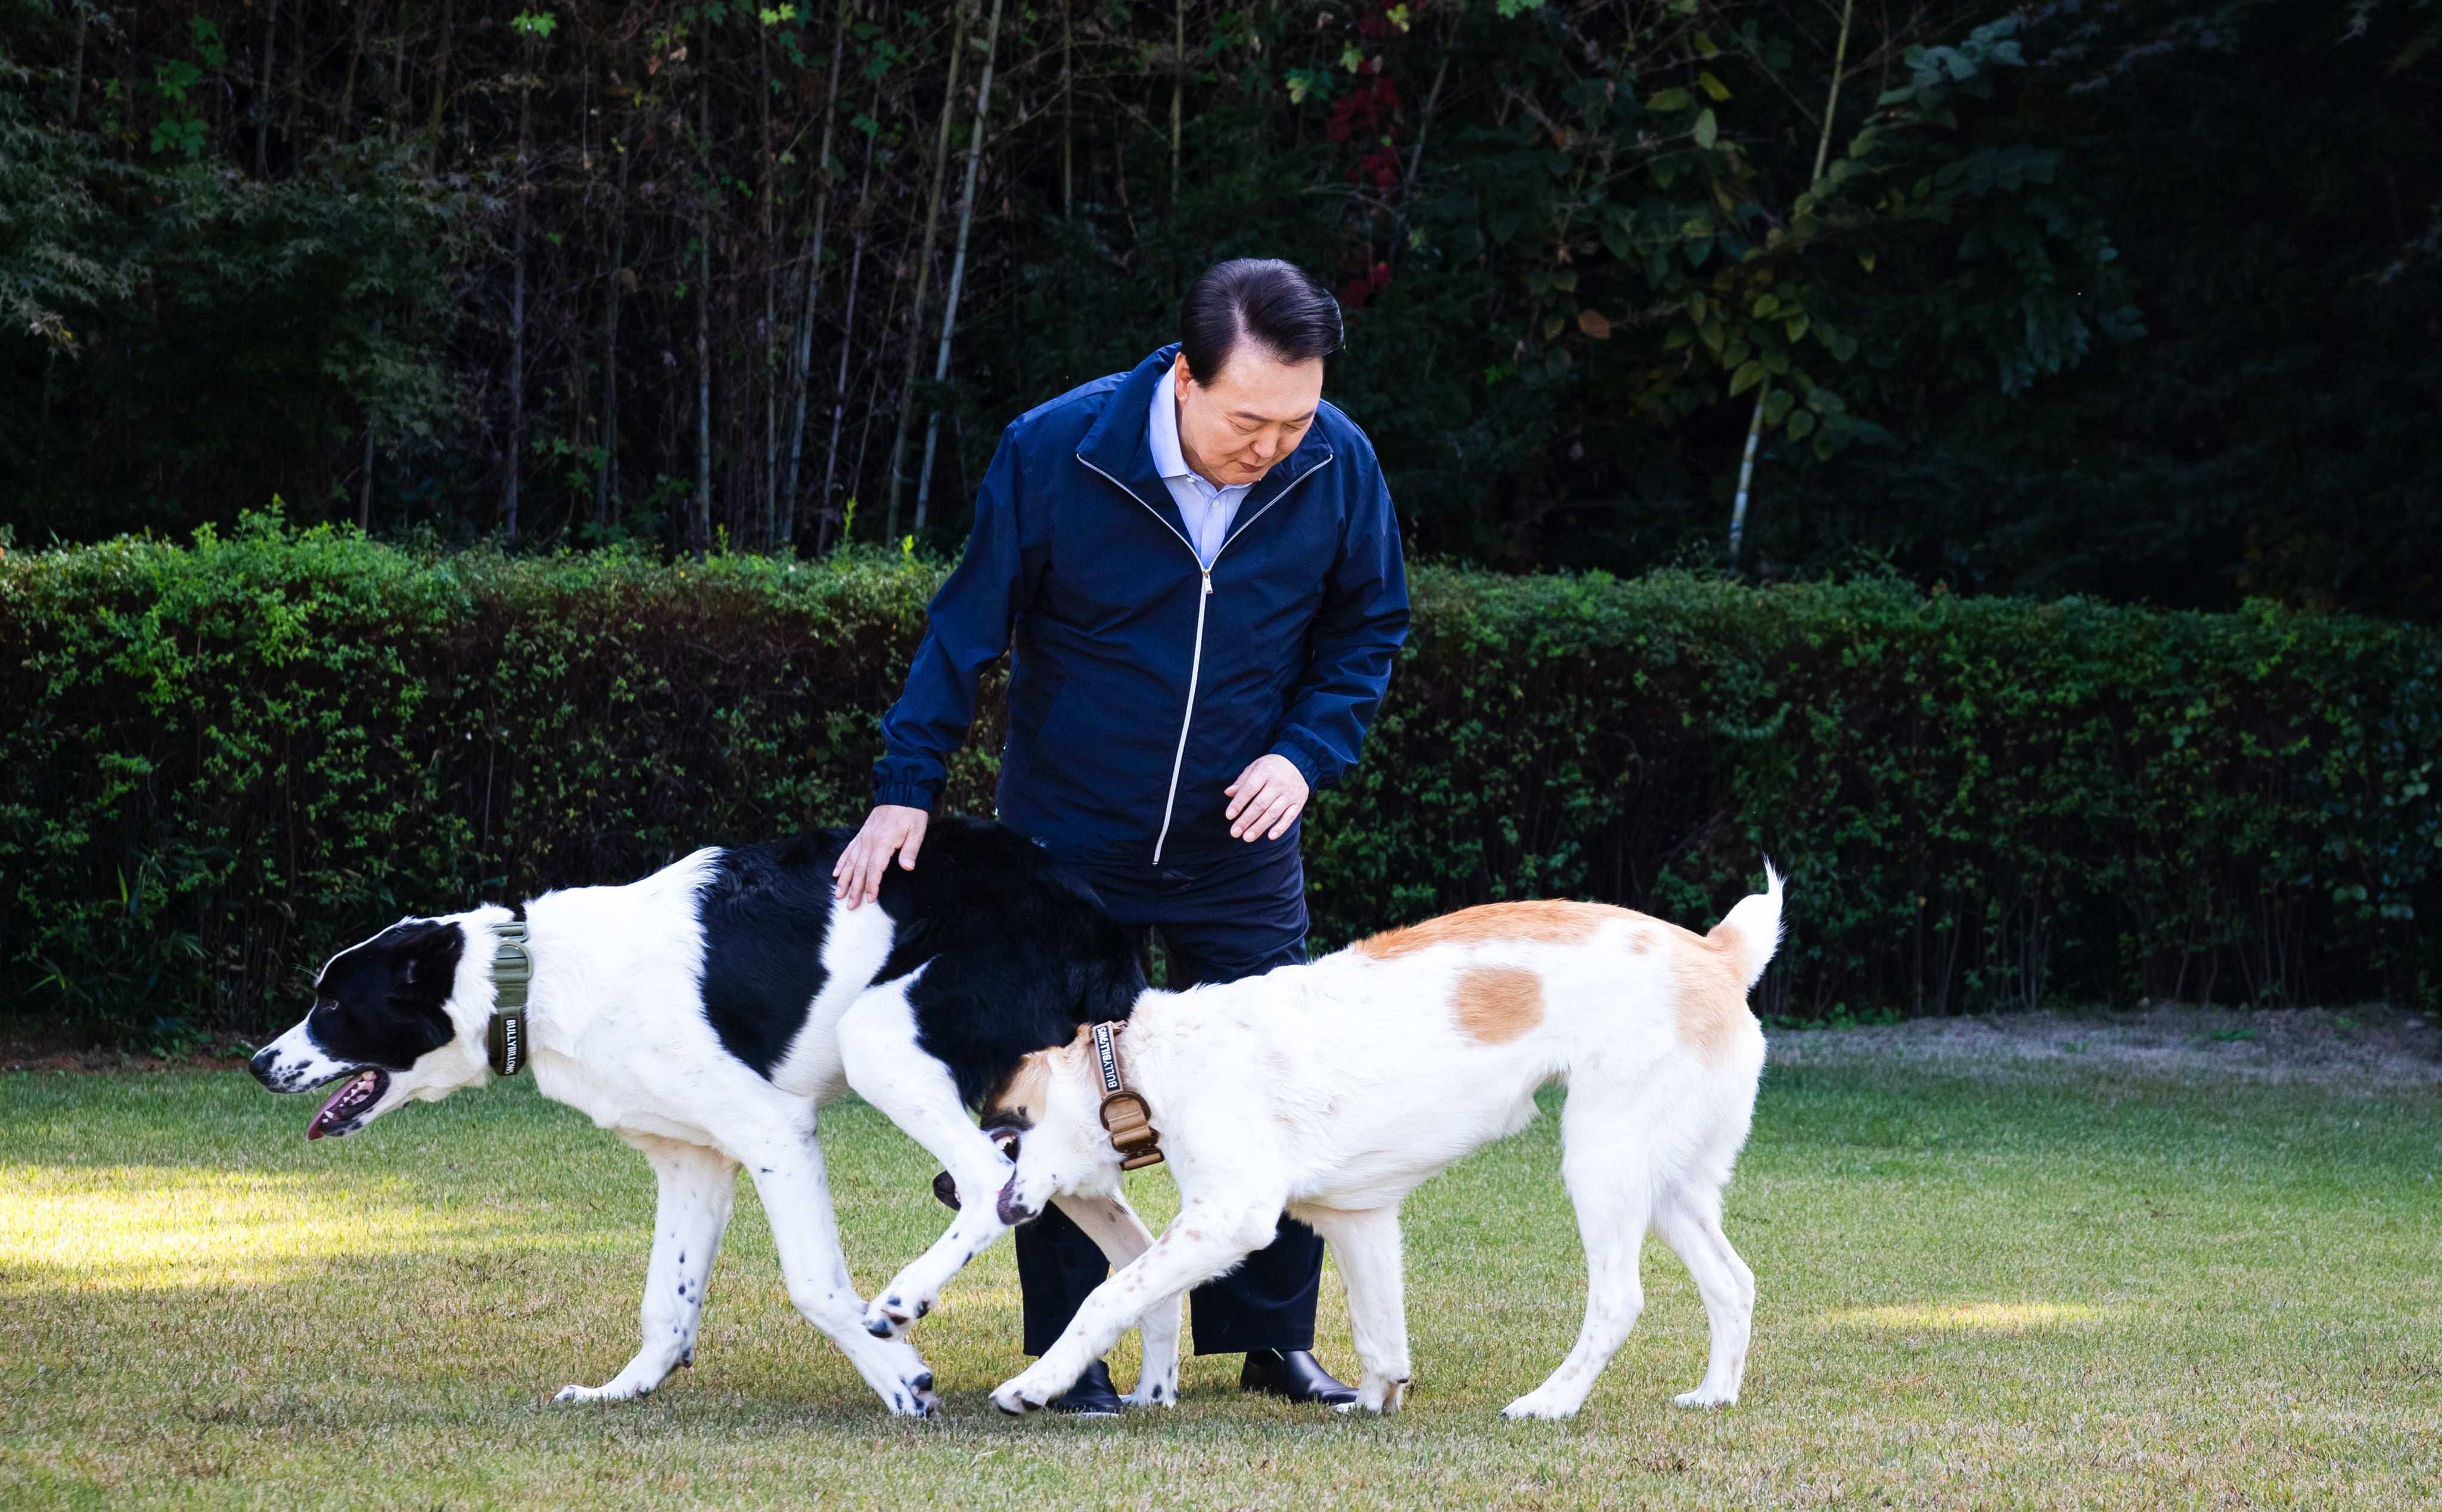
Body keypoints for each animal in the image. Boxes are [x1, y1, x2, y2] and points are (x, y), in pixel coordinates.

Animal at [253, 820, 1186, 1417]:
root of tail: (1092, 915)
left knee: (993, 1182)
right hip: (1060, 1126)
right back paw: (1148, 1389)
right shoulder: (691, 1161)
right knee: (1137, 1250)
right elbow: (665, 1304)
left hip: (885, 1042)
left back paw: (905, 1299)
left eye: (332, 1006)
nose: (260, 1063)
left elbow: (815, 1286)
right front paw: (625, 1390)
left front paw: (898, 1377)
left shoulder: (775, 1133)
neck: (536, 978)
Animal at [981, 869, 1787, 1426]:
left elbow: (1106, 1296)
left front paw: (1034, 1385)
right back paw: (1715, 1394)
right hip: (1669, 1183)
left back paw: (1550, 1402)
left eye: (1004, 1137)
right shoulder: (1358, 1221)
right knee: (1734, 1280)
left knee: (1619, 1299)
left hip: (1602, 1159)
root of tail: (1717, 952)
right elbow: (1378, 1331)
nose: (966, 1197)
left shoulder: (1231, 1217)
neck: (1141, 1068)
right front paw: (1376, 1400)